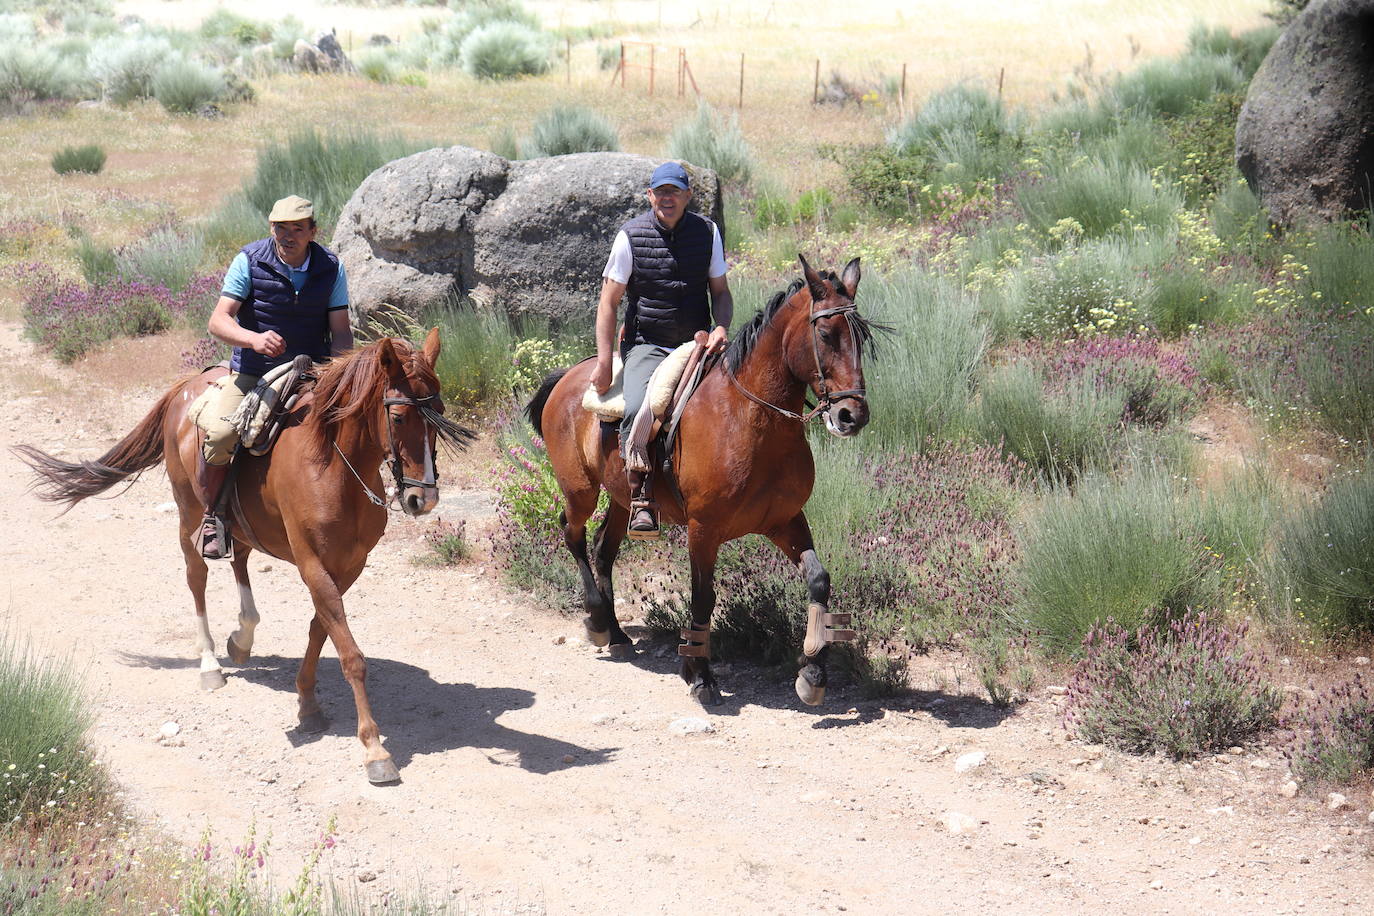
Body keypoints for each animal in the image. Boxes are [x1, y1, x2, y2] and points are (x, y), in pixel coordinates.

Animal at [13, 325, 475, 785]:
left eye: (439, 413)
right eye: (398, 418)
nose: (422, 499)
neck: (333, 466)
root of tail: (186, 387)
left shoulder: (348, 567)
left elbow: (319, 630)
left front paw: (307, 704)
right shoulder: (313, 564)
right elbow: (350, 654)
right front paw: (374, 749)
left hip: (241, 523)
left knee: (239, 562)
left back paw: (242, 639)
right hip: (189, 515)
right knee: (196, 578)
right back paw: (210, 665)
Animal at [530, 258, 873, 708]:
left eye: (862, 337)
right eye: (826, 334)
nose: (853, 415)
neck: (750, 419)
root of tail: (571, 372)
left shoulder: (784, 521)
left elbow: (818, 580)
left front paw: (813, 673)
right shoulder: (703, 530)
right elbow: (702, 596)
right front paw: (699, 674)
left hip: (623, 499)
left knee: (604, 549)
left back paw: (618, 634)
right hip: (579, 489)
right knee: (572, 535)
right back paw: (599, 621)